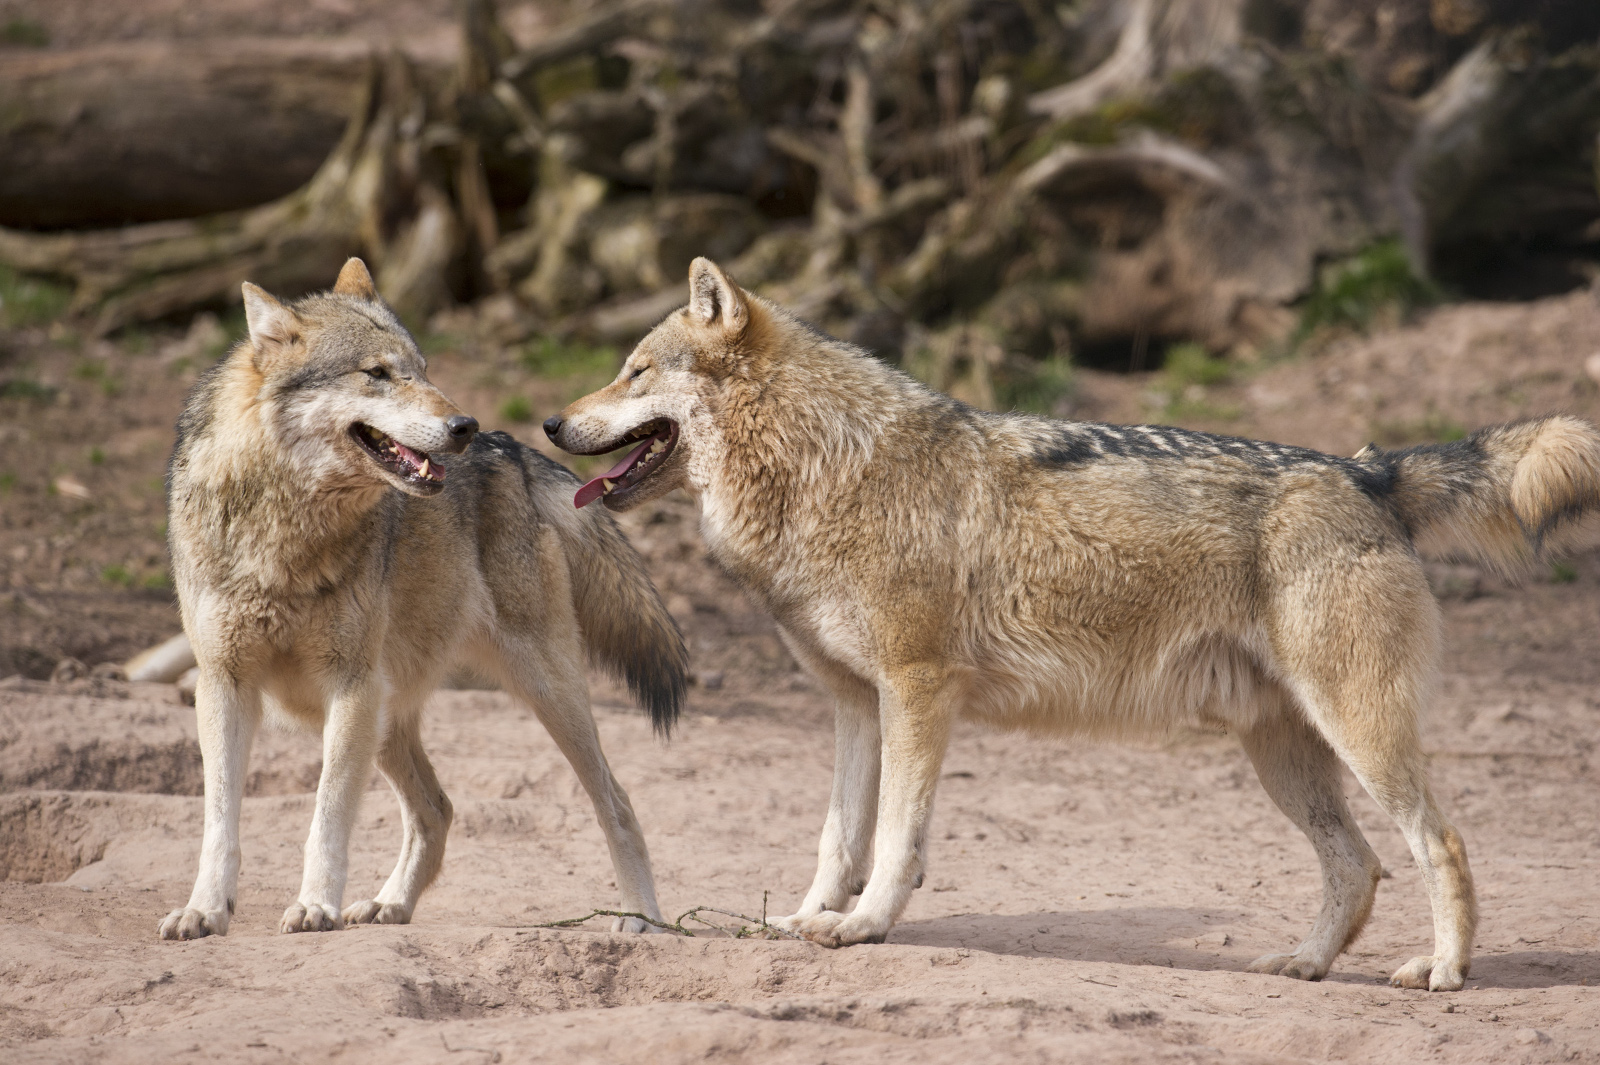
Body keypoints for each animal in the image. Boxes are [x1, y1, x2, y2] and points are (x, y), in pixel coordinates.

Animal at [159, 257, 684, 940]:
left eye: (424, 370)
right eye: (377, 374)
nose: (462, 427)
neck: (283, 536)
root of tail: (513, 449)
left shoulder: (349, 685)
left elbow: (326, 817)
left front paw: (315, 906)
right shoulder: (224, 684)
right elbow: (219, 823)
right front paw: (205, 909)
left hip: (542, 689)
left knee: (615, 803)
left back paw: (642, 918)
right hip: (390, 719)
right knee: (437, 808)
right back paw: (390, 903)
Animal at [544, 255, 1600, 985]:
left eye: (635, 372)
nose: (550, 424)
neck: (826, 464)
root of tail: (1369, 469)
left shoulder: (919, 692)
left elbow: (894, 840)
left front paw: (865, 925)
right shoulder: (853, 705)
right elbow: (837, 838)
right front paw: (807, 919)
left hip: (1358, 734)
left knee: (1439, 844)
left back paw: (1445, 971)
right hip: (1283, 753)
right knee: (1360, 867)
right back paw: (1303, 963)